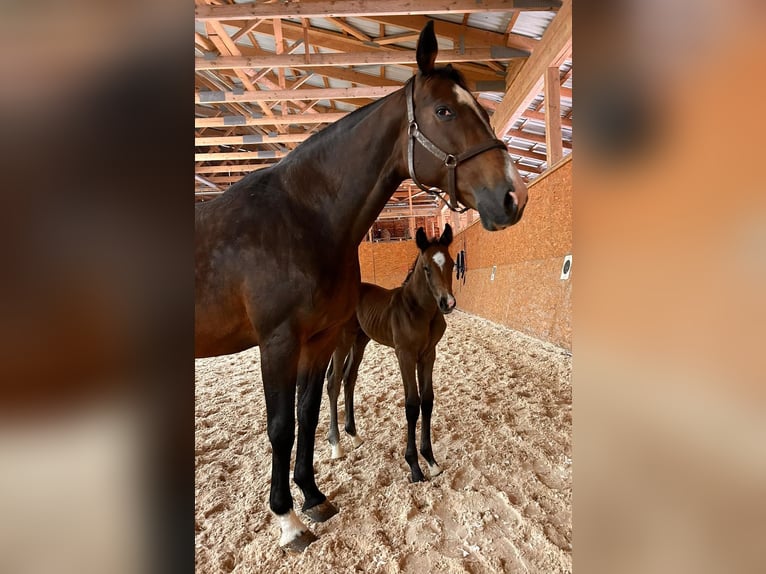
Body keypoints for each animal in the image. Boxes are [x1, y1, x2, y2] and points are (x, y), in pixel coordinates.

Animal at [328, 226, 456, 486]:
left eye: (451, 264)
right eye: (426, 268)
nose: (447, 303)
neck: (418, 311)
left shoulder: (428, 355)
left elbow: (427, 401)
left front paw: (431, 462)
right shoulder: (404, 355)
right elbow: (412, 404)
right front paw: (414, 467)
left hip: (360, 341)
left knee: (349, 378)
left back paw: (354, 435)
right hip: (342, 341)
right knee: (334, 382)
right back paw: (336, 445)